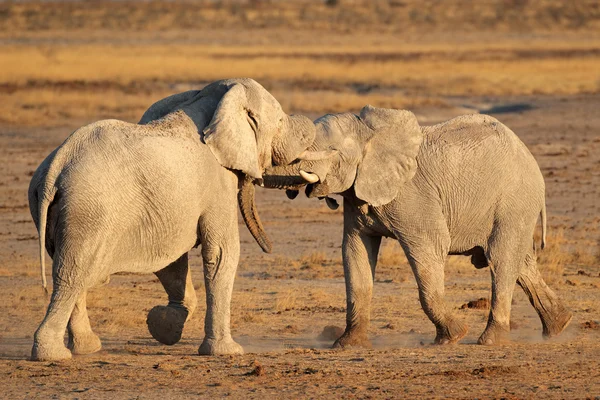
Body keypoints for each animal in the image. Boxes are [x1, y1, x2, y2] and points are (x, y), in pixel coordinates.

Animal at [27, 78, 318, 362]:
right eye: (279, 121)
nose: (269, 247)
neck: (213, 101)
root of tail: (57, 165)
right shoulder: (218, 181)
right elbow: (222, 252)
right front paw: (227, 352)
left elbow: (172, 260)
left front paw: (161, 326)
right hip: (89, 210)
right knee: (73, 275)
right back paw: (53, 355)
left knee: (73, 271)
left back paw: (87, 348)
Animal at [264, 105, 576, 346]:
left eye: (331, 150)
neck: (370, 132)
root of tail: (531, 159)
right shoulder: (357, 196)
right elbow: (355, 254)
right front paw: (345, 345)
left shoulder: (413, 196)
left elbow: (430, 249)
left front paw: (451, 337)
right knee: (521, 263)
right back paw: (559, 325)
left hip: (513, 200)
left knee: (501, 260)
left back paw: (490, 340)